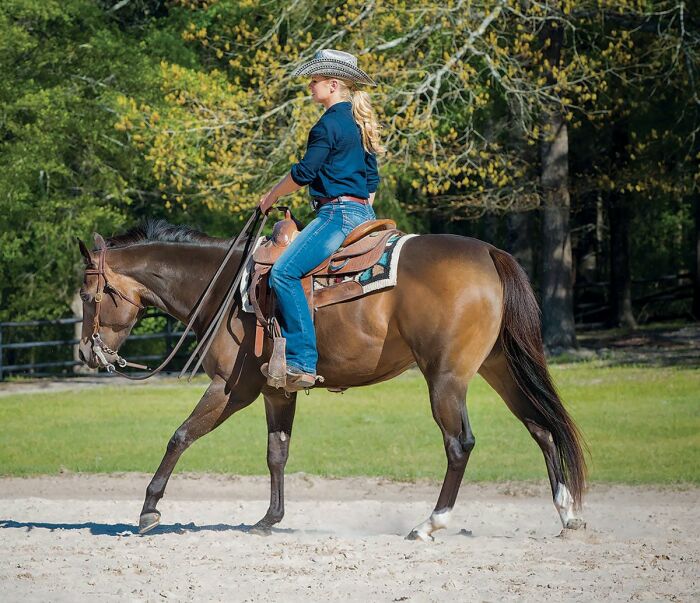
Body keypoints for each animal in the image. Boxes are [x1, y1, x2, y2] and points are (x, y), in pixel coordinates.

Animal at [76, 219, 588, 540]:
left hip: (446, 378)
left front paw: (148, 509)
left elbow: (180, 436)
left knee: (459, 444)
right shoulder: (276, 391)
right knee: (540, 427)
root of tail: (488, 251)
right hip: (497, 366)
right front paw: (269, 519)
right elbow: (277, 453)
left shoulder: (230, 389)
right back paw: (567, 514)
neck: (225, 289)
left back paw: (430, 523)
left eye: (85, 293)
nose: (85, 353)